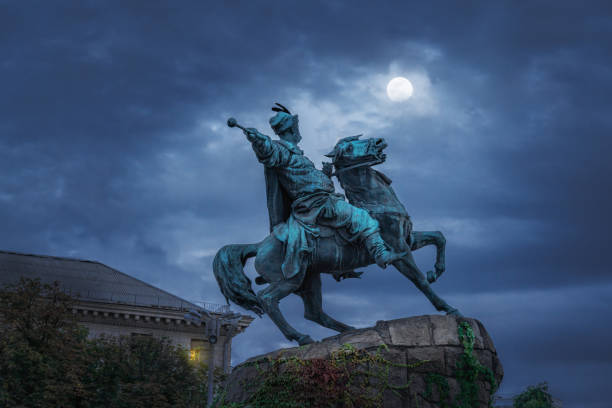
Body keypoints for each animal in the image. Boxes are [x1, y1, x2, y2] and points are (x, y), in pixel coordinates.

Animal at [214, 135, 460, 344]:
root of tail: (259, 246)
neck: (374, 201)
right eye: (349, 149)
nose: (379, 141)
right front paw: (448, 307)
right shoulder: (400, 251)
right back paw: (301, 337)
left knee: (313, 312)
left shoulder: (408, 240)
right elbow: (419, 280)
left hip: (309, 279)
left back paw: (350, 331)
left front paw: (437, 271)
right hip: (289, 279)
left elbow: (439, 238)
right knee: (268, 299)